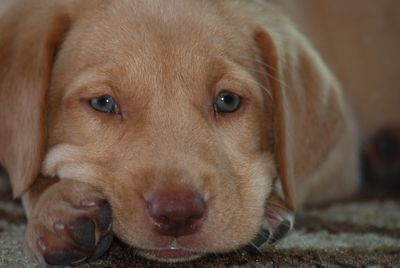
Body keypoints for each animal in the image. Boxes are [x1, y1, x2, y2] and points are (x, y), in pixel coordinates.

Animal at [0, 0, 396, 264]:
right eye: (103, 103)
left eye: (228, 100)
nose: (178, 214)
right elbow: (27, 173)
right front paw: (55, 207)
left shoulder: (341, 155)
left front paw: (268, 210)